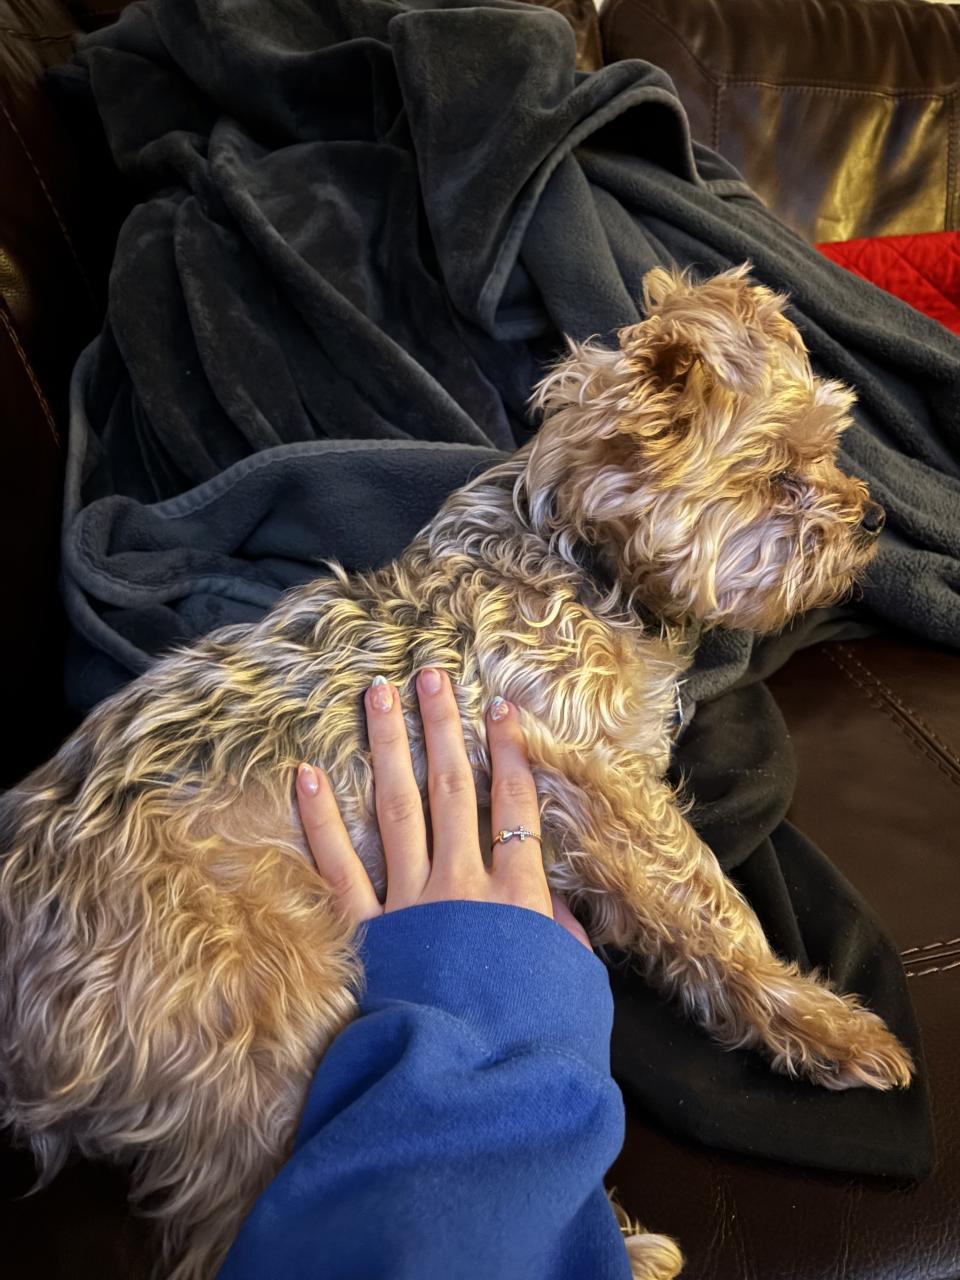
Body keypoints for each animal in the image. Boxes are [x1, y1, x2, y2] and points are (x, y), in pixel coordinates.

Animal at [0, 264, 913, 1280]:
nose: (875, 517)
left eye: (831, 449)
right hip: (255, 998)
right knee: (247, 1209)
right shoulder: (593, 784)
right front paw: (825, 1026)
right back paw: (617, 1246)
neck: (579, 553)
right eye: (778, 476)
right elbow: (711, 909)